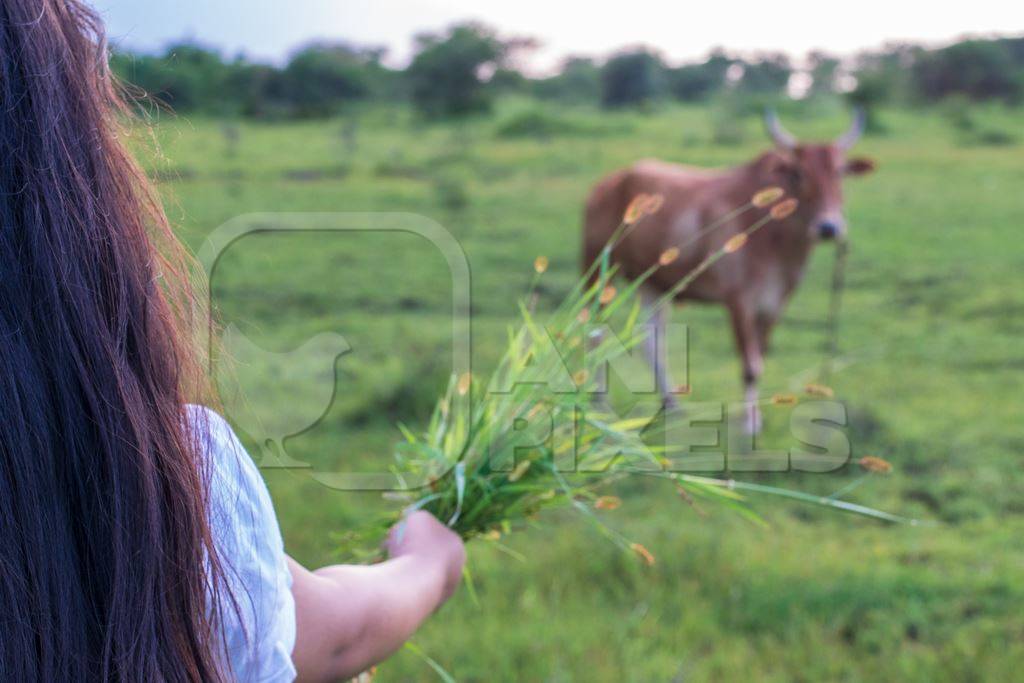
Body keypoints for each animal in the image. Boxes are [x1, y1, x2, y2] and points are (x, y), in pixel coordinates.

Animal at [581, 111, 876, 432]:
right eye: (799, 173)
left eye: (839, 172)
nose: (828, 227)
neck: (776, 238)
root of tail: (609, 182)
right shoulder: (739, 302)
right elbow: (749, 365)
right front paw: (749, 424)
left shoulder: (775, 305)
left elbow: (759, 358)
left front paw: (755, 416)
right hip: (598, 271)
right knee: (594, 331)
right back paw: (598, 403)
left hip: (652, 283)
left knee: (651, 341)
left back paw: (671, 405)